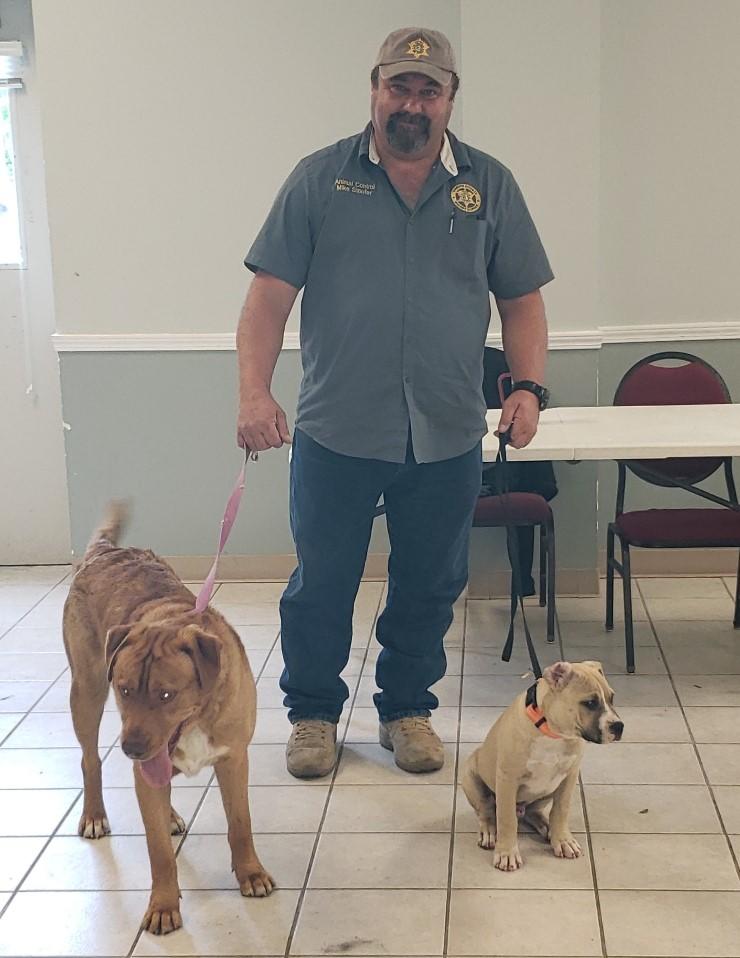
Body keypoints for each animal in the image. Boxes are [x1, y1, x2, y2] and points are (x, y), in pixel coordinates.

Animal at [62, 506, 272, 932]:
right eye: (125, 689)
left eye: (166, 695)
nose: (130, 748)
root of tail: (106, 551)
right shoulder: (144, 770)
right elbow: (157, 849)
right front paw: (163, 904)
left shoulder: (234, 759)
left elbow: (240, 823)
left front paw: (250, 873)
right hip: (86, 691)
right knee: (90, 759)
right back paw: (94, 815)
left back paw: (169, 812)